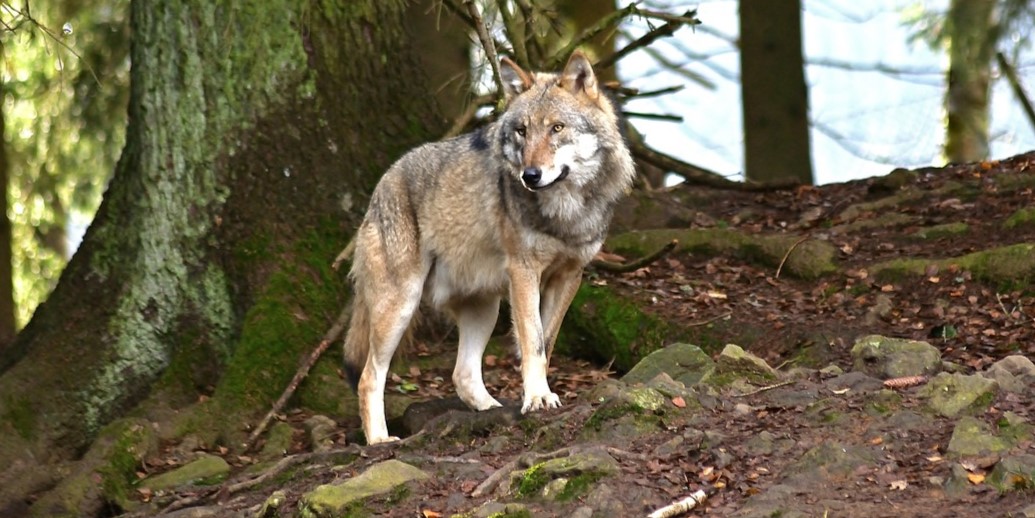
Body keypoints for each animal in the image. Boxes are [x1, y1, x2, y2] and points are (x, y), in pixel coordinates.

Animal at [342, 51, 636, 444]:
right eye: (522, 131)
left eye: (557, 128)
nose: (530, 176)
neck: (565, 211)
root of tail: (383, 182)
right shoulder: (524, 272)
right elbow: (532, 340)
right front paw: (537, 398)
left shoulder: (569, 276)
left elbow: (545, 343)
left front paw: (537, 395)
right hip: (401, 305)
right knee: (368, 377)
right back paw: (379, 440)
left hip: (485, 308)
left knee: (462, 375)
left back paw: (493, 411)